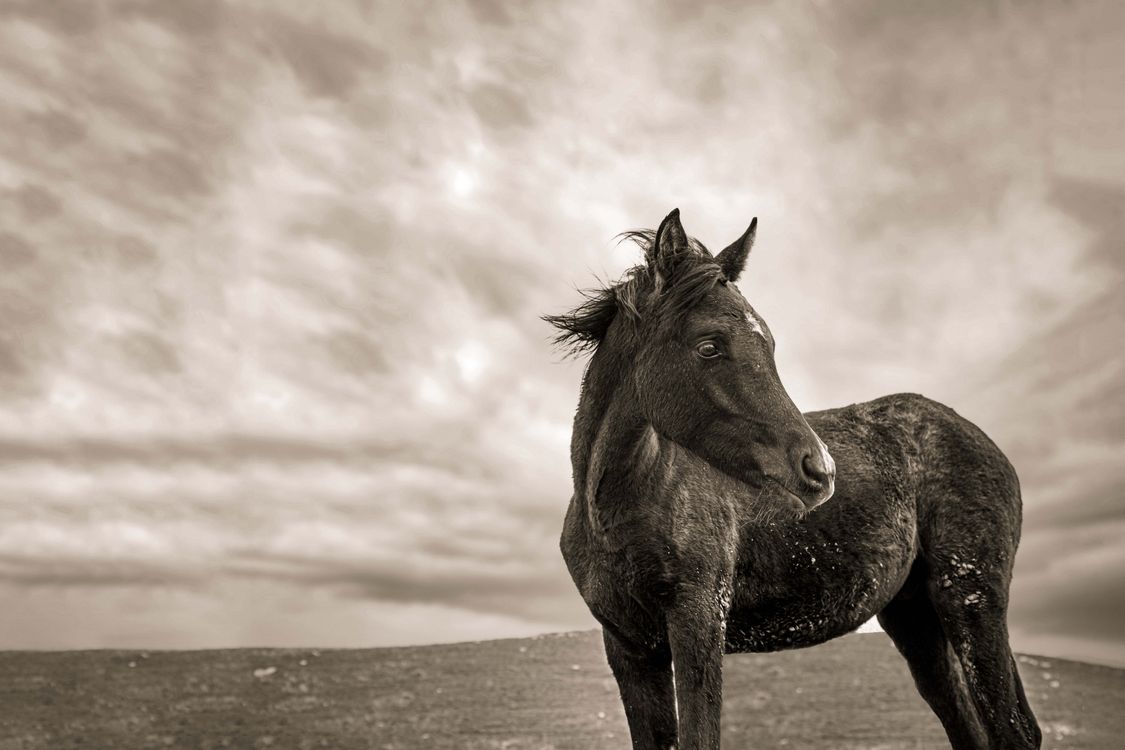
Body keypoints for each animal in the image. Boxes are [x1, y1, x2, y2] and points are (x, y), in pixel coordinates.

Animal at [544, 209, 1040, 750]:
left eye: (771, 344)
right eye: (709, 346)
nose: (820, 470)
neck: (618, 511)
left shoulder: (698, 623)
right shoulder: (630, 649)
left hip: (971, 599)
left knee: (1013, 729)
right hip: (916, 618)